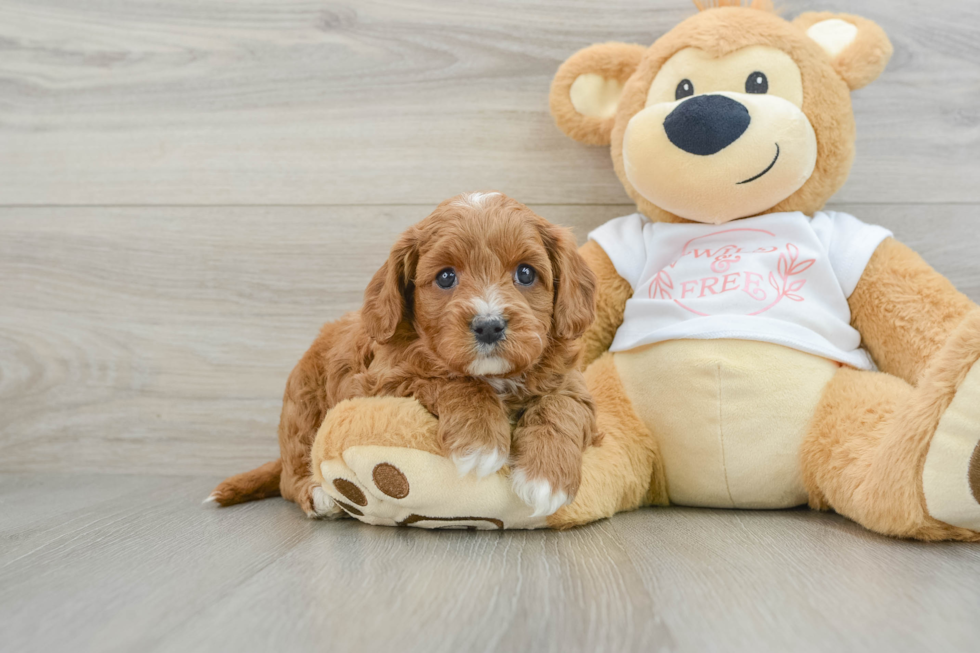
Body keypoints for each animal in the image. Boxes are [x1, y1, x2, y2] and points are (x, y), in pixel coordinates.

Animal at [211, 191, 600, 516]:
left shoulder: (571, 382)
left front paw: (546, 477)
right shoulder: (378, 382)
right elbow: (452, 380)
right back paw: (319, 495)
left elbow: (561, 406)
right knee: (290, 474)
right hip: (302, 405)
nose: (489, 326)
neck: (494, 375)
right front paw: (480, 442)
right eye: (445, 277)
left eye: (525, 273)